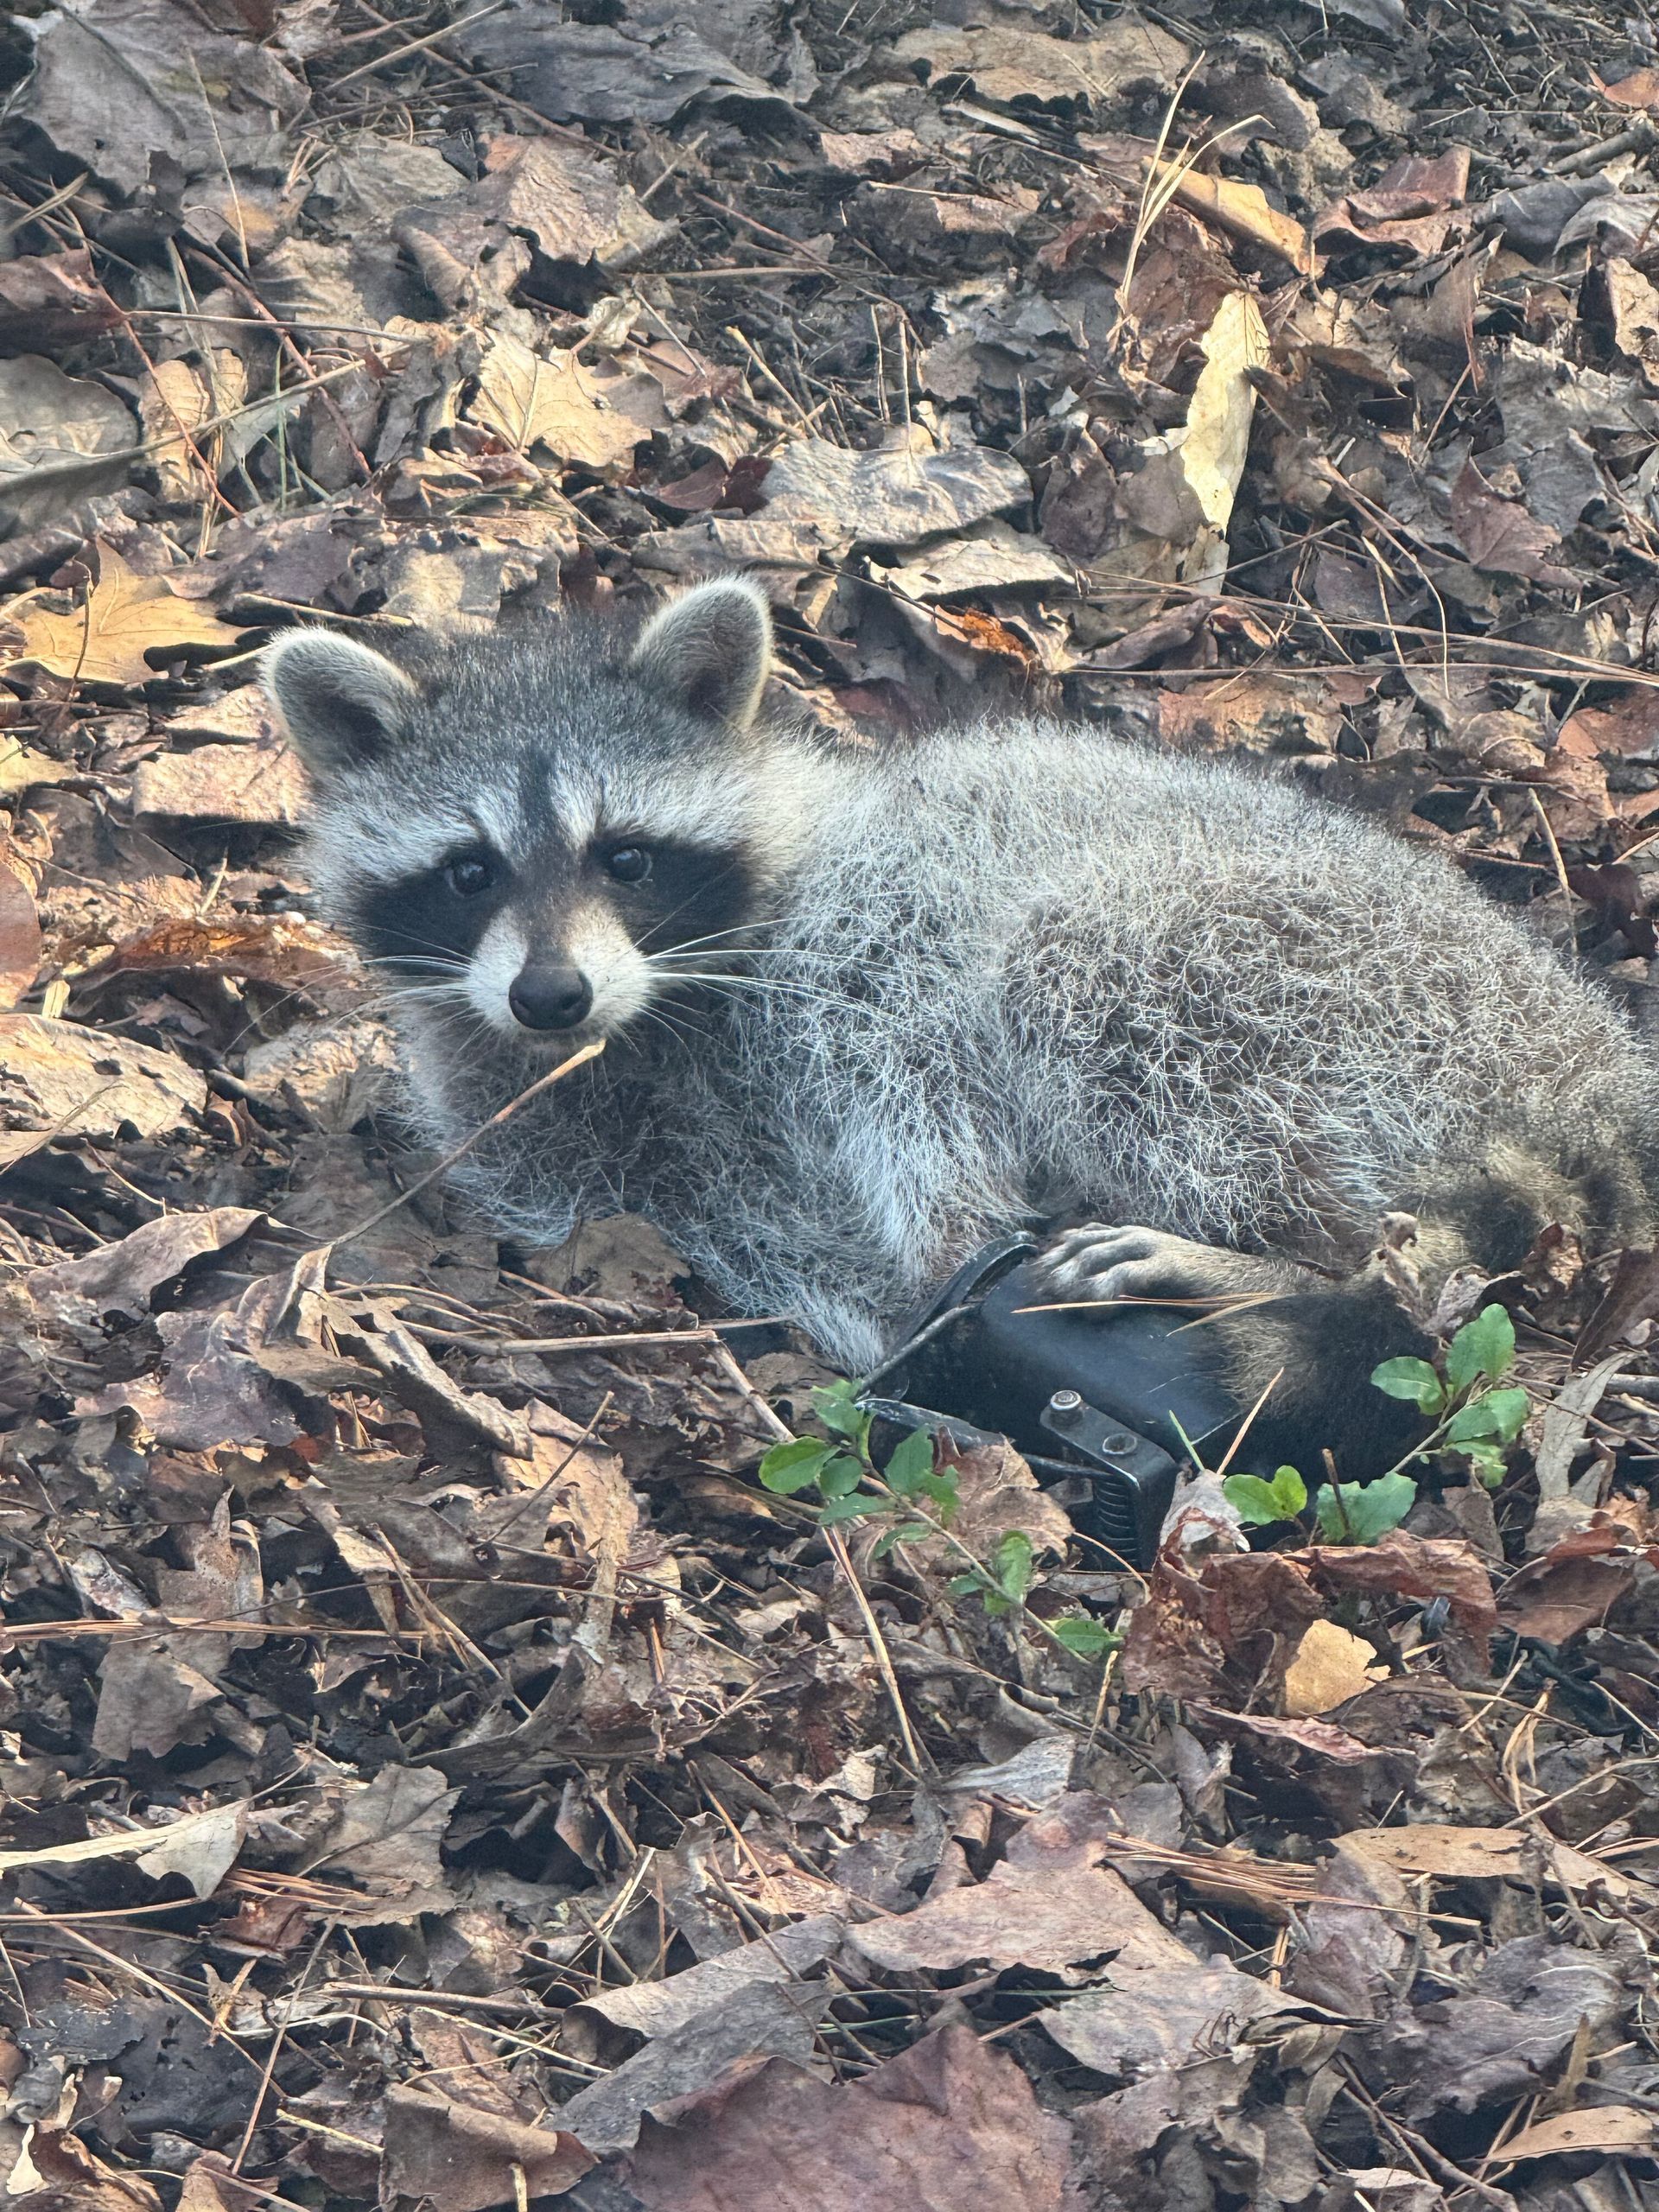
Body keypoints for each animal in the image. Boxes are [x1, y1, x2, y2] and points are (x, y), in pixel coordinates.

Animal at [264, 579, 1659, 1476]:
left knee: (1090, 981)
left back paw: (1286, 1266)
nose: (551, 996)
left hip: (1310, 969)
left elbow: (916, 1078)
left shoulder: (873, 935)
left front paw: (959, 1245)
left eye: (628, 856)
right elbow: (752, 1226)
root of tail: (1588, 1055)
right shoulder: (600, 1151)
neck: (649, 1020)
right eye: (469, 872)